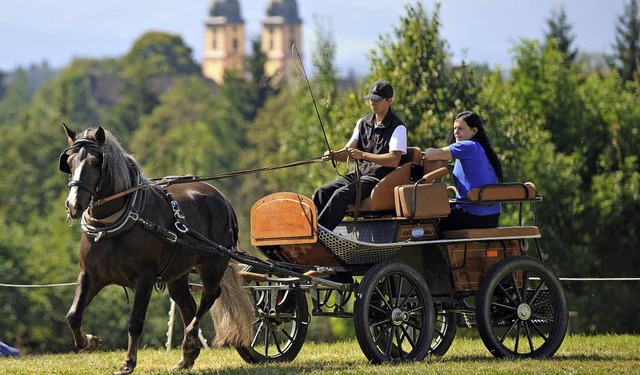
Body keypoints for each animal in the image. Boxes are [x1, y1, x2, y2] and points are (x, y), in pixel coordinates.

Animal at [57, 125, 252, 374]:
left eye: (94, 162)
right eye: (69, 162)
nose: (73, 205)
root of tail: (222, 198)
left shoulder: (145, 279)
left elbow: (135, 321)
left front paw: (128, 363)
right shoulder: (90, 275)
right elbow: (73, 315)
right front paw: (89, 342)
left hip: (213, 263)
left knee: (210, 296)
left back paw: (190, 338)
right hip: (178, 273)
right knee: (187, 304)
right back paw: (187, 354)